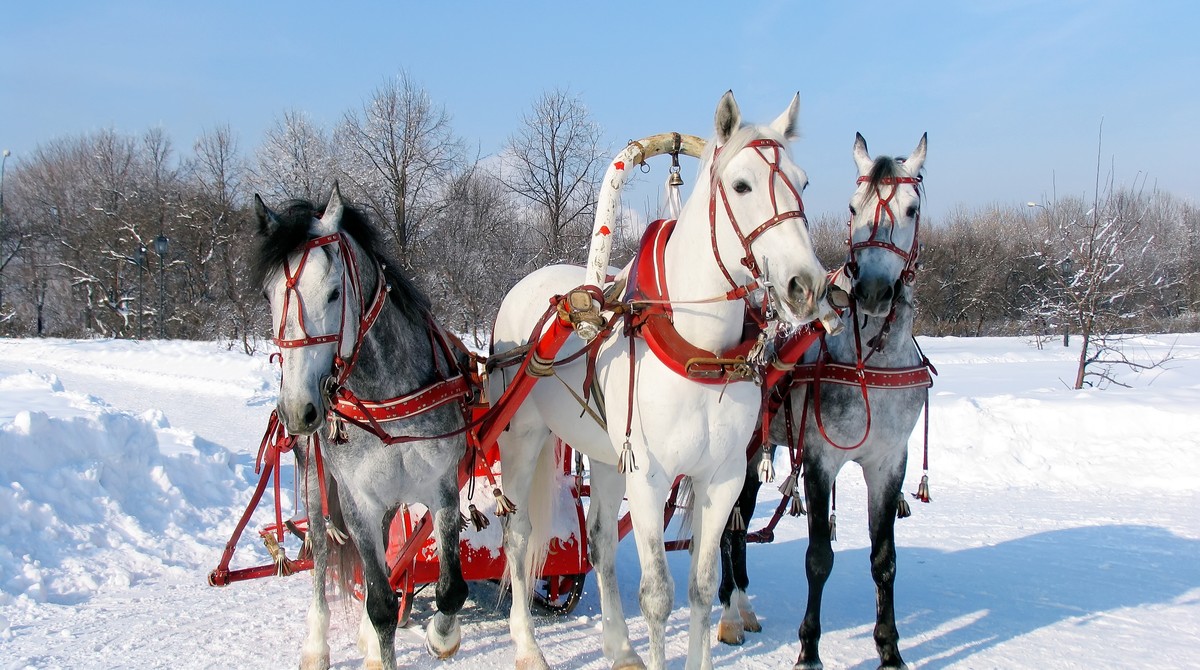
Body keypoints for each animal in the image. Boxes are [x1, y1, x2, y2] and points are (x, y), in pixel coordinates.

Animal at [492, 93, 830, 670]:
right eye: (741, 185)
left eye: (804, 182)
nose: (804, 286)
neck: (701, 353)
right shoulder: (649, 478)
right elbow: (657, 595)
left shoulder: (722, 479)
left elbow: (702, 585)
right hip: (523, 440)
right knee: (517, 538)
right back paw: (527, 646)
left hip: (607, 457)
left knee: (601, 543)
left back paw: (619, 647)